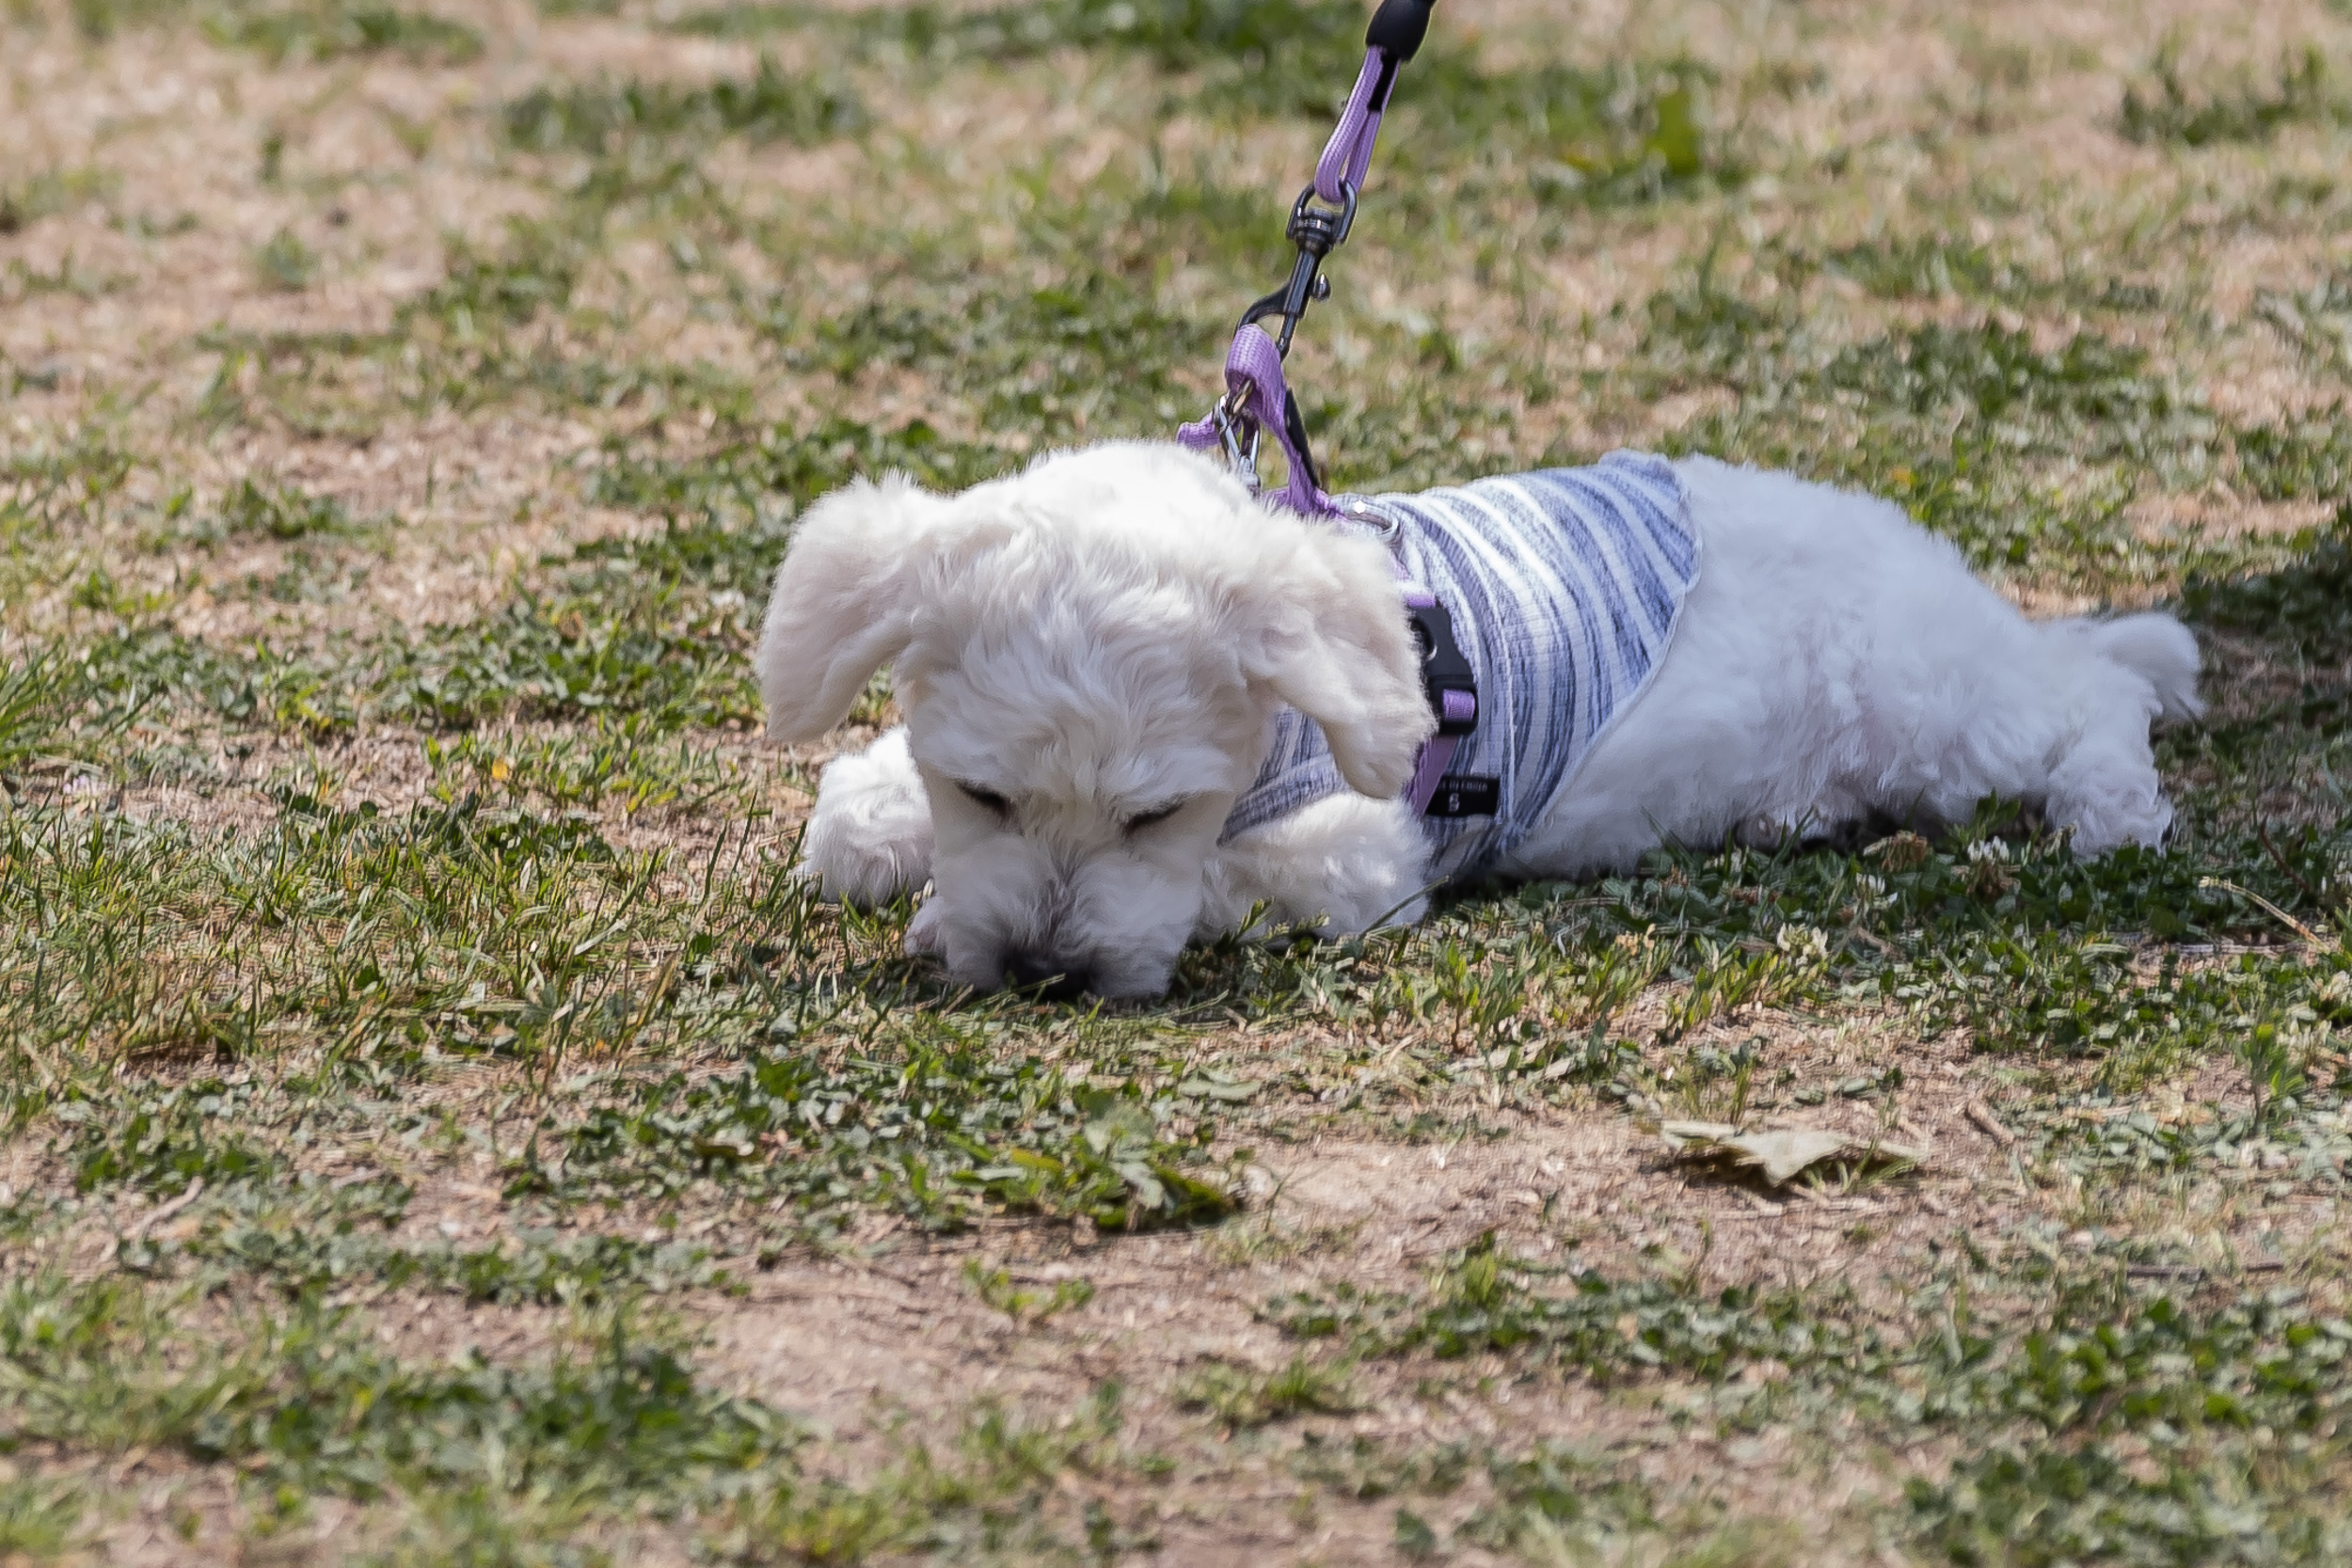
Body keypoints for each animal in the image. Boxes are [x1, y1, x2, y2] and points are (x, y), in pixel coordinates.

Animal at [757, 441, 2201, 1001]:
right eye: (985, 793)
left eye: (1155, 812)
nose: (1046, 968)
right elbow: (852, 812)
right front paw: (904, 853)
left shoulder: (1351, 858)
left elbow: (1213, 880)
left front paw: (941, 919)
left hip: (1934, 710)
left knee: (2094, 698)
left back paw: (2110, 809)